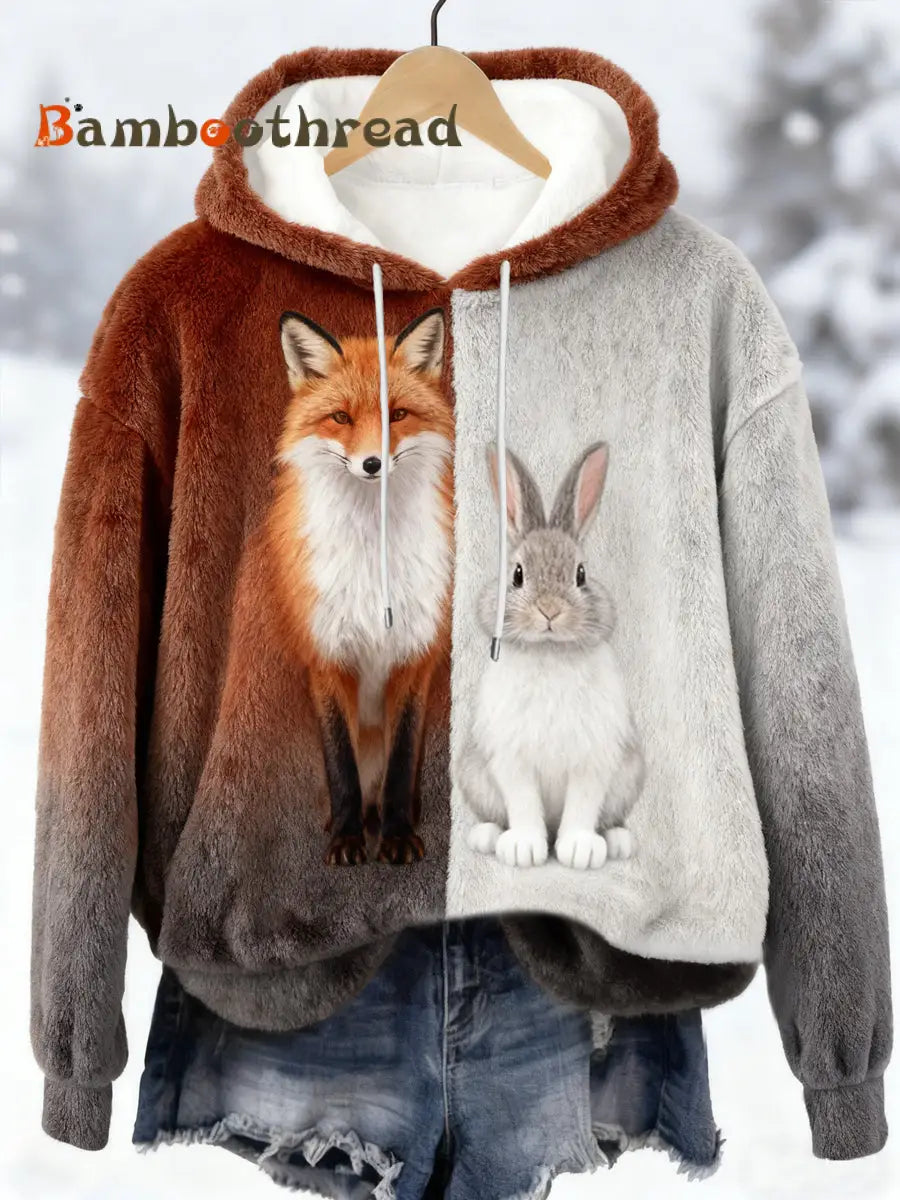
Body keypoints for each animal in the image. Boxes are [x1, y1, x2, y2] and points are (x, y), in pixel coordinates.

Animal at [266, 305, 454, 866]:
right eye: (341, 418)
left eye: (398, 415)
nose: (373, 463)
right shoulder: (328, 657)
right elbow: (341, 767)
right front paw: (348, 840)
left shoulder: (415, 656)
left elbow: (400, 766)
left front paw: (397, 837)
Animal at [458, 441, 645, 870]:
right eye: (517, 575)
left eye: (581, 574)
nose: (549, 611)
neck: (549, 653)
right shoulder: (512, 759)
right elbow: (524, 805)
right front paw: (525, 850)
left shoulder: (594, 759)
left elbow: (582, 806)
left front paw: (579, 852)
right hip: (474, 776)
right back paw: (486, 837)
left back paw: (618, 842)